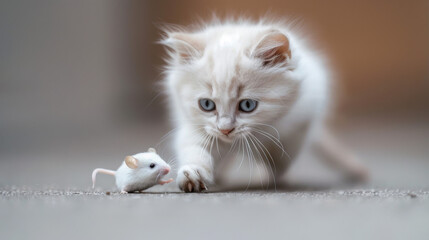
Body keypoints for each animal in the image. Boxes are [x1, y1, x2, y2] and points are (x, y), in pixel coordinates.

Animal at [160, 18, 364, 192]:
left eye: (247, 105)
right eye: (207, 104)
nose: (225, 130)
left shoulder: (301, 121)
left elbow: (281, 159)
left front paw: (270, 177)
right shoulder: (197, 127)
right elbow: (195, 150)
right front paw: (193, 175)